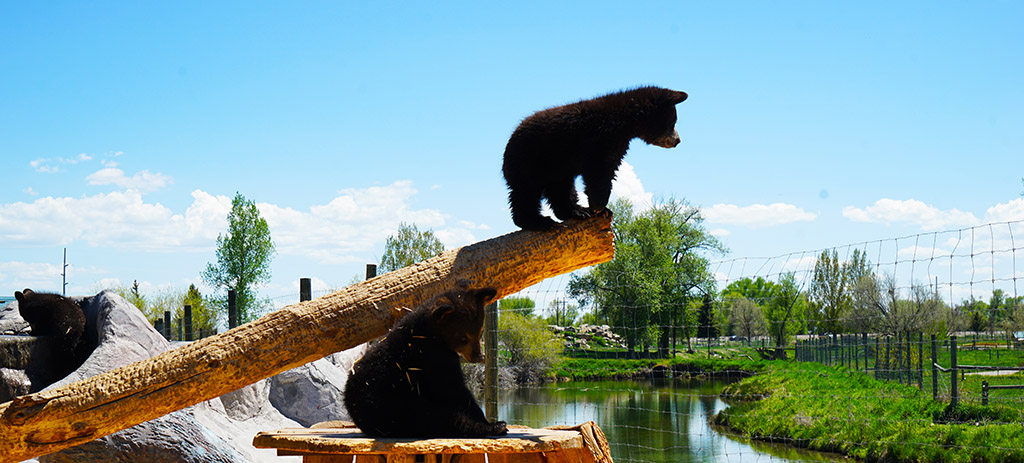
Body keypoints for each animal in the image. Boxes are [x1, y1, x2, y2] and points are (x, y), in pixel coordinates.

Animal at [344, 284, 503, 438]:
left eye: (480, 333)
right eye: (464, 338)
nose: (478, 356)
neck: (431, 333)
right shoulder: (428, 355)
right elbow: (451, 388)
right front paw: (487, 422)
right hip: (394, 407)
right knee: (438, 418)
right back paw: (493, 427)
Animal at [503, 86, 688, 230]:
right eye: (673, 122)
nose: (678, 140)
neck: (625, 123)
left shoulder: (617, 145)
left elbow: (609, 169)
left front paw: (601, 209)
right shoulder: (598, 140)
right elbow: (599, 172)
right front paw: (599, 207)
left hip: (557, 169)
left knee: (561, 190)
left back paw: (577, 211)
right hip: (530, 160)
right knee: (526, 190)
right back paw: (537, 221)